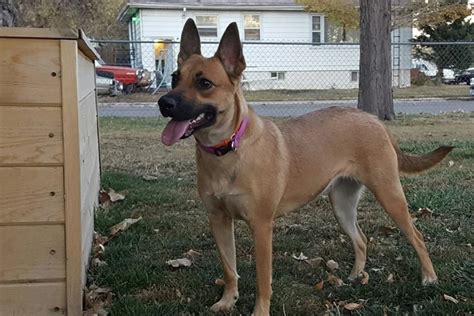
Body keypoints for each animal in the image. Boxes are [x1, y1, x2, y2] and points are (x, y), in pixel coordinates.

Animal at [158, 19, 452, 314]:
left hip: (389, 194)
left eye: (204, 83)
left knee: (417, 236)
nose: (163, 103)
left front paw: (260, 310)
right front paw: (227, 301)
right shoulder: (218, 220)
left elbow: (263, 279)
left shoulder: (261, 226)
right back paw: (356, 275)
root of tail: (373, 119)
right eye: (174, 77)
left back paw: (429, 277)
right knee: (360, 239)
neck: (227, 149)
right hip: (342, 204)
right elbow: (229, 269)